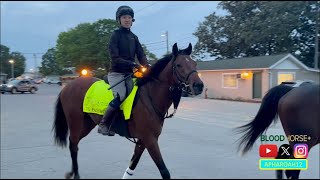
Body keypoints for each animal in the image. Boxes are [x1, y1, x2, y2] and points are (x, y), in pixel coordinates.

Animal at [51, 43, 204, 179]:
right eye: (179, 65)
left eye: (195, 64)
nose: (199, 86)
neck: (150, 96)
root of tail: (68, 86)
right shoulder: (150, 140)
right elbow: (164, 171)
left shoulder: (143, 140)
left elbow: (132, 165)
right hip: (76, 123)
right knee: (74, 144)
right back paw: (75, 174)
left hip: (87, 124)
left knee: (74, 144)